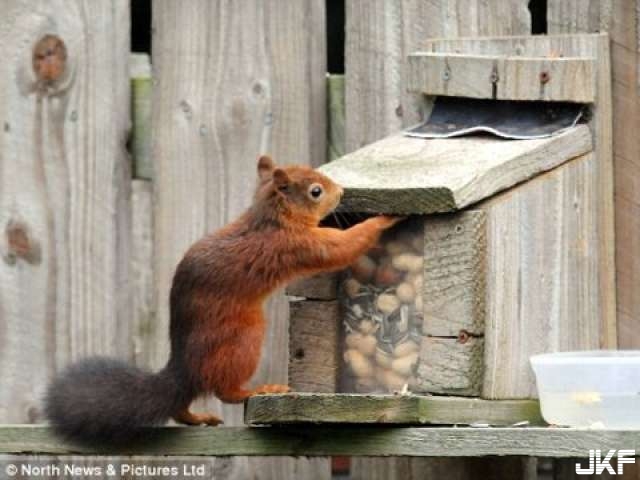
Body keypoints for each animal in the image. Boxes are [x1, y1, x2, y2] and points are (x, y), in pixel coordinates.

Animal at [46, 157, 400, 442]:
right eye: (315, 191)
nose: (340, 192)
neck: (271, 219)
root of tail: (184, 369)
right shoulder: (298, 245)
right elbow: (342, 247)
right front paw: (384, 219)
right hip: (243, 339)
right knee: (224, 391)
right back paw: (259, 390)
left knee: (181, 404)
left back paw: (196, 417)